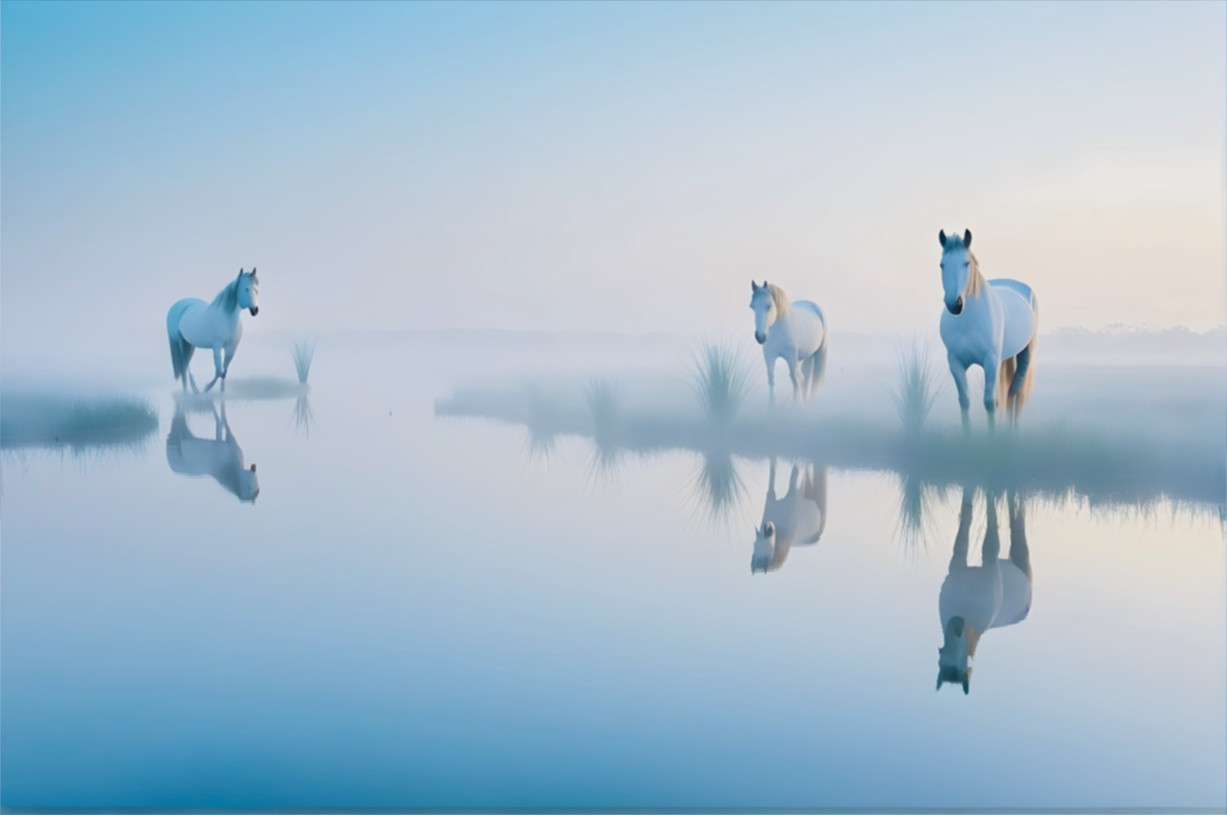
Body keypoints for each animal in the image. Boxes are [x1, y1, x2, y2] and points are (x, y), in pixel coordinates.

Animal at [936, 487, 1032, 694]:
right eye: (941, 660)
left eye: (960, 660)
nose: (956, 623)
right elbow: (965, 520)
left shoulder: (990, 559)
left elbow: (991, 535)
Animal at [937, 231, 1038, 429]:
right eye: (942, 265)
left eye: (966, 263)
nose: (954, 304)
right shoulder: (955, 362)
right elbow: (965, 401)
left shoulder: (990, 361)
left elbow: (990, 403)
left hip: (1024, 355)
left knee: (1015, 394)